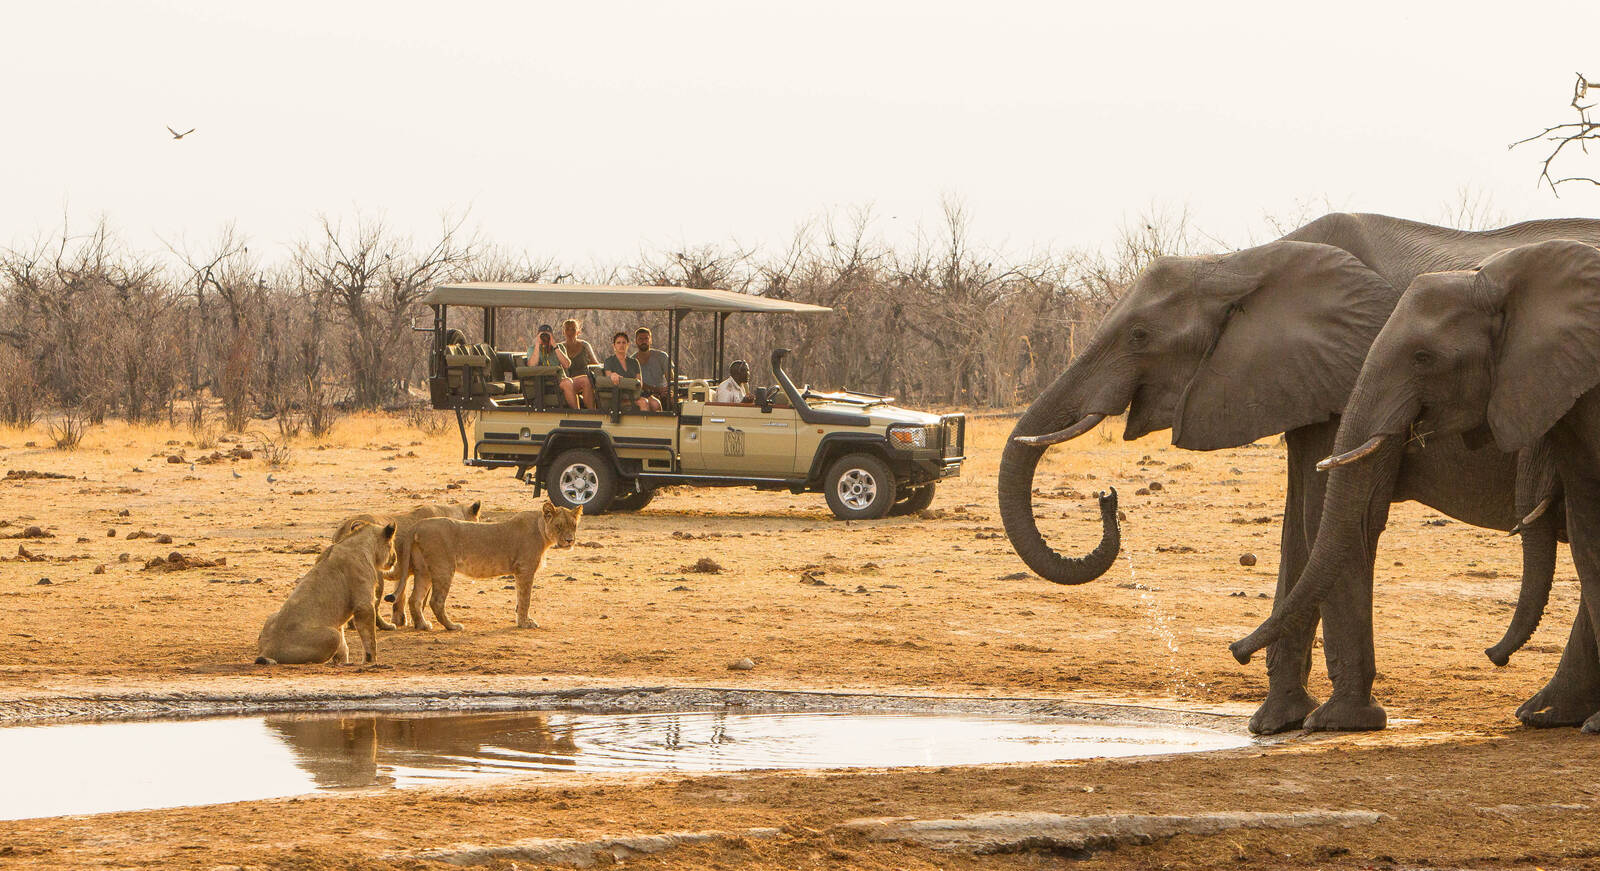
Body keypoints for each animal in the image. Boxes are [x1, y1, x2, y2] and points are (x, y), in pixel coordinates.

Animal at [257, 518, 395, 666]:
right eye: (391, 544)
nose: (395, 558)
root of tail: (267, 650)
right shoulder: (364, 605)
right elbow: (369, 638)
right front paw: (371, 661)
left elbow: (343, 646)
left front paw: (342, 662)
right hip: (332, 636)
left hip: (272, 616)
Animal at [331, 499, 480, 630]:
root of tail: (344, 528)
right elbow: (420, 600)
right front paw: (419, 623)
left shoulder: (405, 572)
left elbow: (400, 598)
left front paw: (400, 621)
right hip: (376, 577)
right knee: (374, 606)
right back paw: (386, 626)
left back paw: (353, 625)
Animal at [400, 499, 582, 630]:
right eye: (559, 526)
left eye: (573, 525)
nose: (569, 540)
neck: (542, 530)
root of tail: (417, 525)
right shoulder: (525, 569)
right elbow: (525, 599)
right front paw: (525, 623)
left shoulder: (519, 572)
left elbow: (519, 598)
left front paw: (522, 620)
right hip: (443, 568)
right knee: (436, 601)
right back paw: (452, 626)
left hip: (423, 570)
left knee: (414, 599)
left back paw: (423, 625)